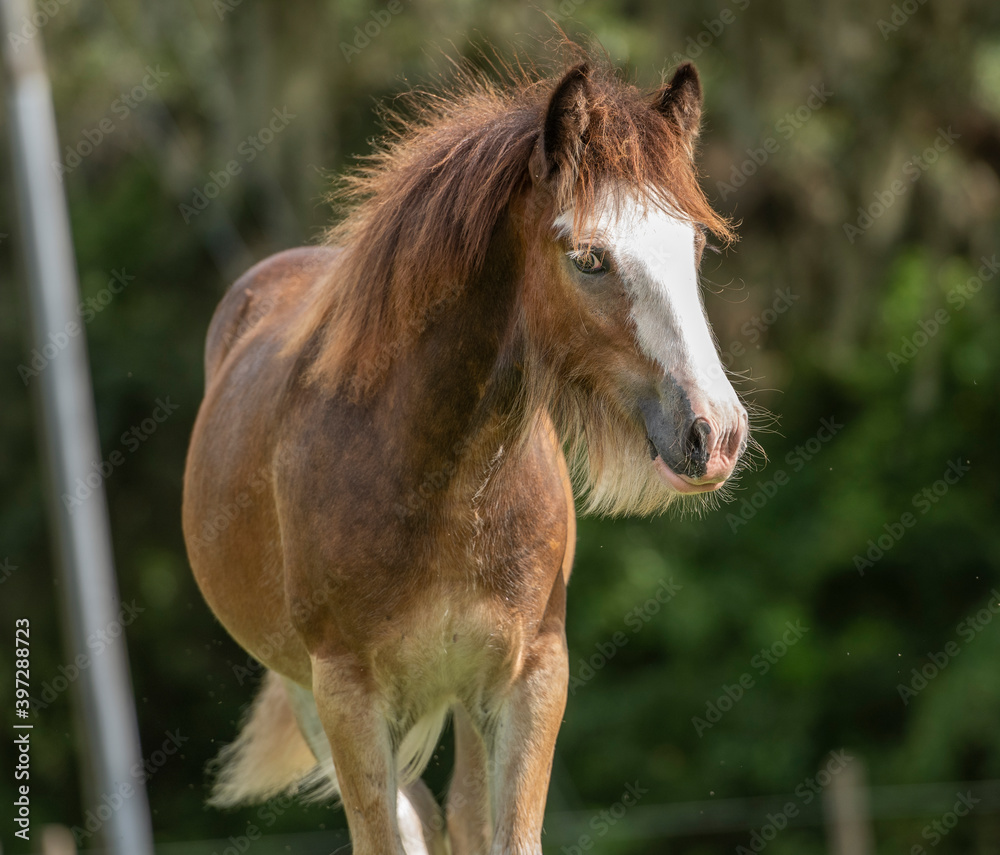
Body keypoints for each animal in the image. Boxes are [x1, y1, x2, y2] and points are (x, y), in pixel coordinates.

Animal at [182, 48, 748, 855]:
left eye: (694, 244)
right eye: (589, 258)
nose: (714, 432)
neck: (444, 482)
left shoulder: (530, 677)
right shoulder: (347, 697)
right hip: (311, 694)